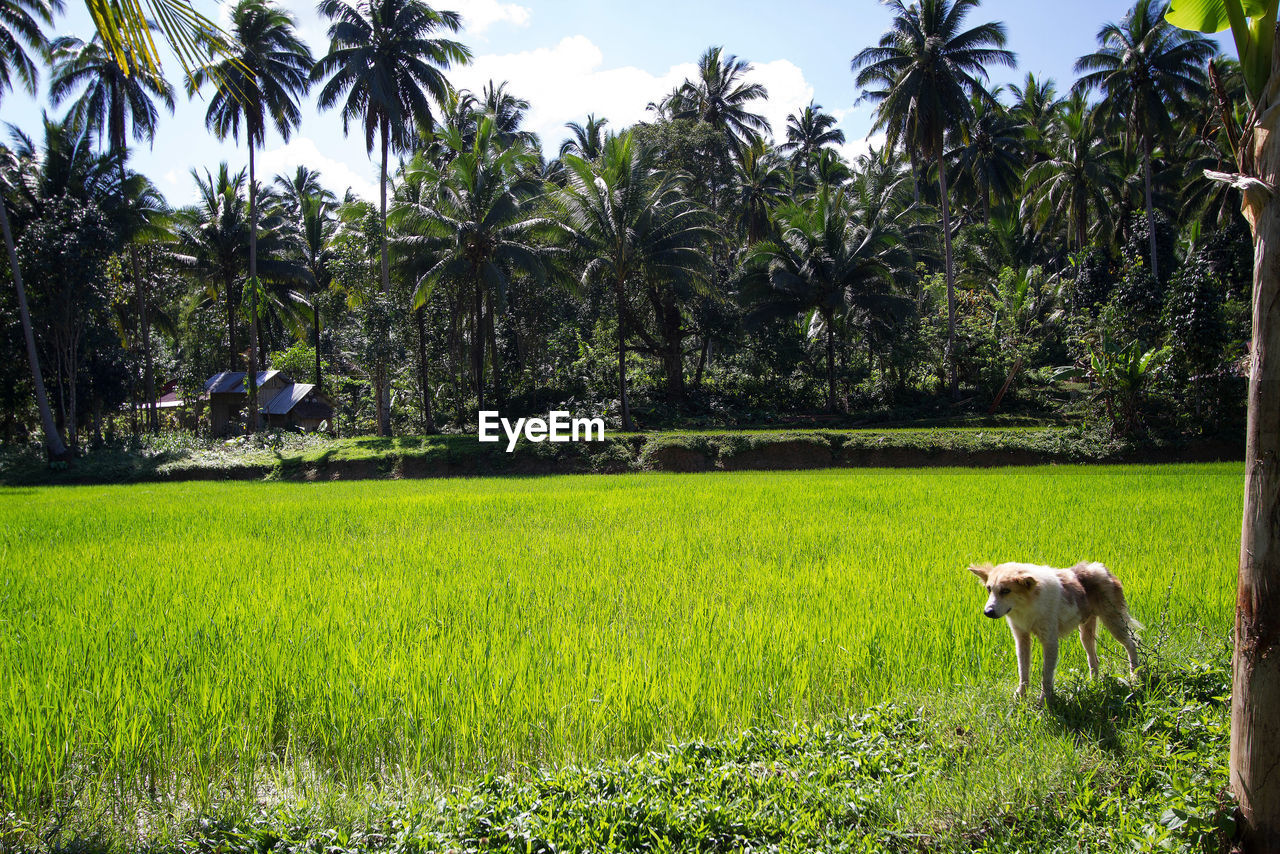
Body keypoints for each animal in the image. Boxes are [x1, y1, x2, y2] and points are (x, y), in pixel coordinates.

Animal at [967, 560, 1141, 701]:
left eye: (1005, 591)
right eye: (989, 589)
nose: (988, 612)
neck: (1028, 606)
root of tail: (1102, 568)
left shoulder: (1050, 641)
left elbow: (1046, 675)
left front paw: (1044, 701)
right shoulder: (1021, 638)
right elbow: (1023, 670)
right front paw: (1021, 697)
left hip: (1114, 623)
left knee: (1132, 645)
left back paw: (1135, 676)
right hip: (1086, 634)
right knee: (1094, 659)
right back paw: (1094, 684)